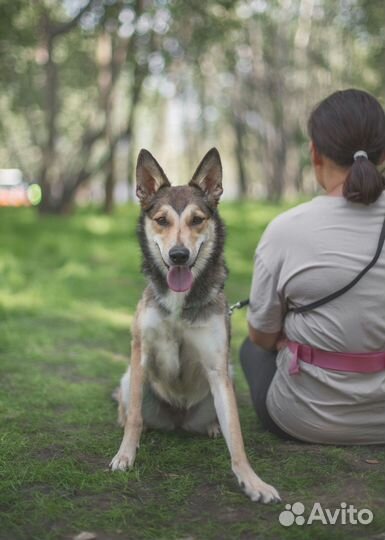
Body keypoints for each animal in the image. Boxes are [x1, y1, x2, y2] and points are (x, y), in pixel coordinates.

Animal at [108, 147, 280, 502]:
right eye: (162, 220)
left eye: (197, 220)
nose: (178, 256)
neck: (179, 303)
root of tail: (178, 419)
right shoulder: (140, 353)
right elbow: (133, 419)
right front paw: (125, 455)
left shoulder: (217, 366)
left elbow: (236, 438)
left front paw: (252, 481)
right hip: (130, 378)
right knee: (131, 413)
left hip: (228, 377)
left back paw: (212, 427)